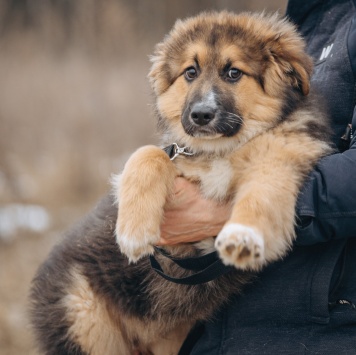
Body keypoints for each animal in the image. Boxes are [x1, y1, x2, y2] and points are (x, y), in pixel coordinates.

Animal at [30, 11, 334, 355]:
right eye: (191, 72)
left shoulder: (279, 161)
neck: (223, 150)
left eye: (233, 73)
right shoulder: (177, 154)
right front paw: (134, 231)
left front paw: (243, 237)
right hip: (84, 320)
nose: (201, 115)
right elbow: (149, 154)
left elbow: (261, 195)